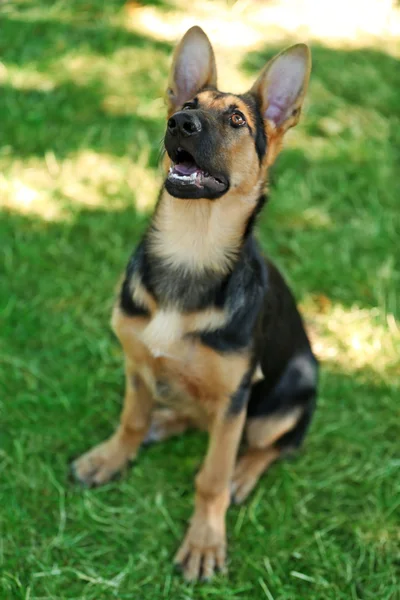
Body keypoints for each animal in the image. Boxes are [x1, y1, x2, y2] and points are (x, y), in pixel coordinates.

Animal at [71, 24, 316, 580]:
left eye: (237, 119)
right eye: (186, 104)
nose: (179, 123)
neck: (190, 250)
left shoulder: (234, 396)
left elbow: (212, 476)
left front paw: (205, 540)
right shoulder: (136, 362)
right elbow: (131, 418)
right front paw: (112, 456)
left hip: (293, 386)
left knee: (275, 444)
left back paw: (245, 473)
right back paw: (167, 419)